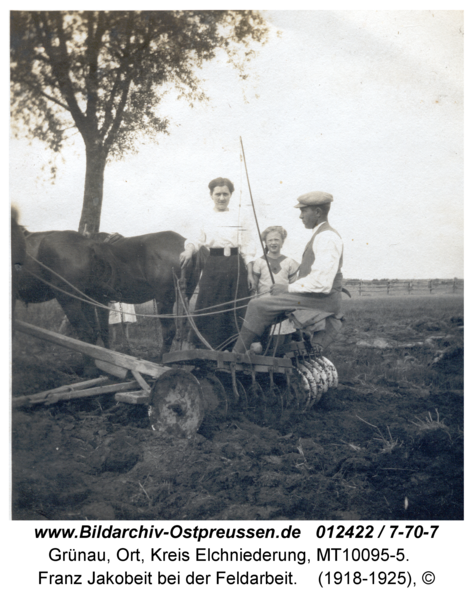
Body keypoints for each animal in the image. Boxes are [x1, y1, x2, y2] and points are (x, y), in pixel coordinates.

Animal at [16, 229, 205, 352]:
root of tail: (187, 246)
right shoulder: (99, 299)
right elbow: (103, 330)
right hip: (185, 295)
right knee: (185, 326)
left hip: (165, 299)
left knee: (169, 331)